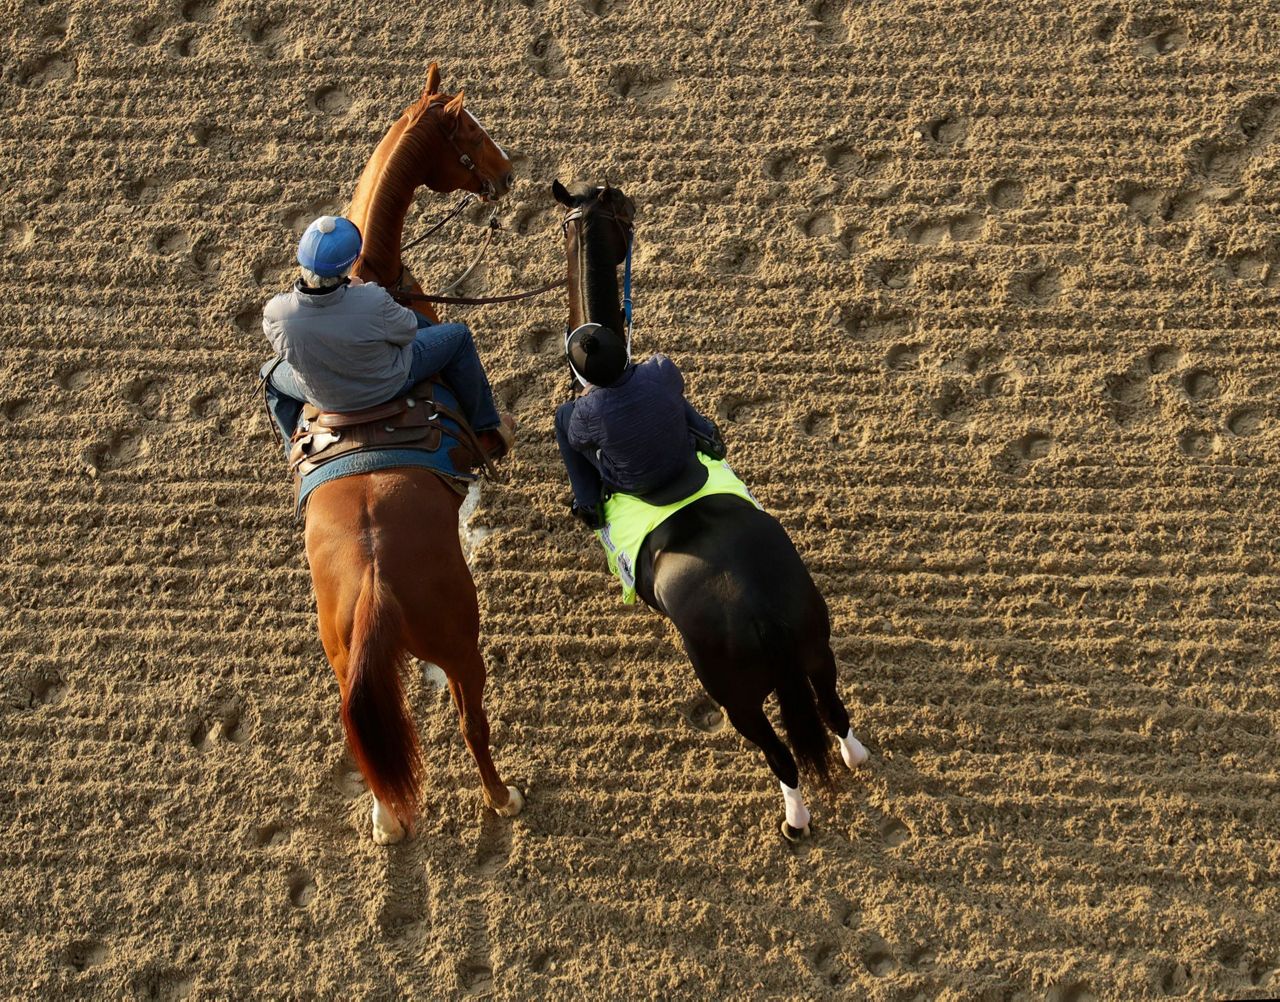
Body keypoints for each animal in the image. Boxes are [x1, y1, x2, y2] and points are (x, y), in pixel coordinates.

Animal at [307, 64, 522, 844]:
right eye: (471, 131)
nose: (507, 174)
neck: (370, 273)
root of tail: (374, 585)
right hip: (461, 647)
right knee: (469, 723)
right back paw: (501, 797)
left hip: (352, 662)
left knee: (373, 739)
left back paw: (387, 818)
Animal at [550, 180, 870, 839]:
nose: (635, 211)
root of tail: (760, 610)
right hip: (815, 649)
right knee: (833, 707)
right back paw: (856, 755)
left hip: (737, 696)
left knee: (779, 754)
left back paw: (794, 820)